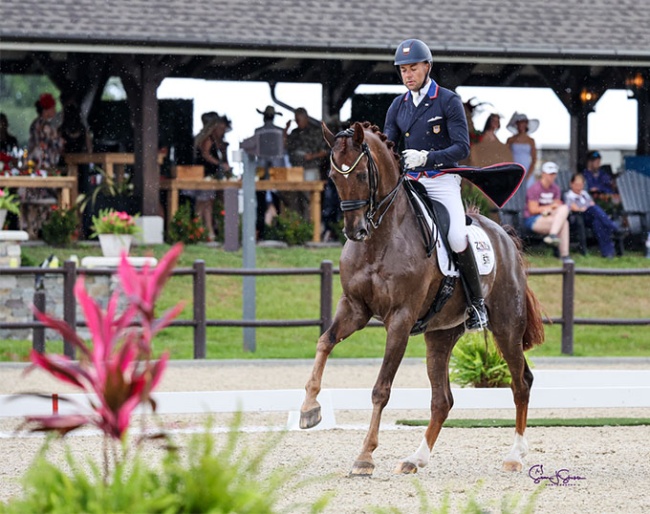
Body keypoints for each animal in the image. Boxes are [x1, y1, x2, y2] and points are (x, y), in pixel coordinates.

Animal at [298, 122, 540, 474]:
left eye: (361, 175)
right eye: (332, 176)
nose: (355, 231)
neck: (380, 239)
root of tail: (503, 236)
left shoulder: (400, 318)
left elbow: (381, 389)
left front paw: (365, 456)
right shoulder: (355, 308)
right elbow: (324, 343)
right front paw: (309, 408)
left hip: (507, 326)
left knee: (520, 383)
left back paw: (515, 455)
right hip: (440, 335)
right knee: (443, 400)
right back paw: (416, 458)